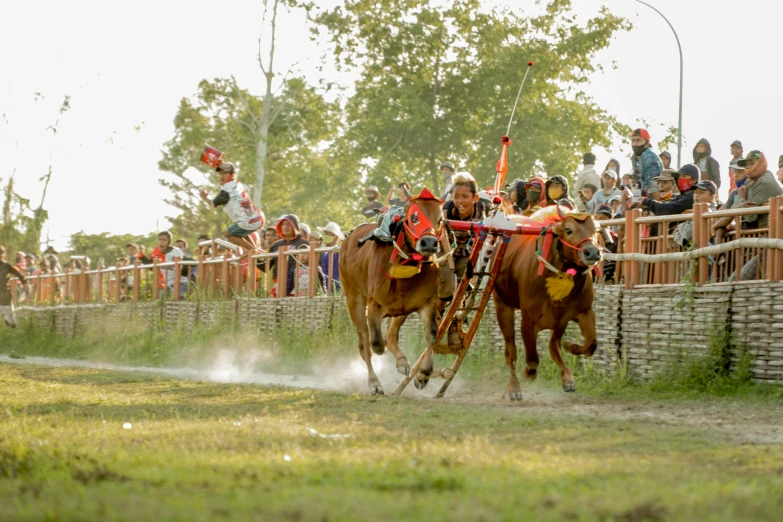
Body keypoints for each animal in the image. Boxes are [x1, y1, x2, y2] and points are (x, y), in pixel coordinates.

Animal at [340, 190, 444, 394]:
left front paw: (423, 374)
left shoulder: (427, 304)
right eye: (413, 218)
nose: (429, 243)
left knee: (390, 334)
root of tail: (348, 237)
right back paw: (374, 383)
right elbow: (376, 342)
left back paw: (402, 363)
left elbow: (432, 335)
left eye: (440, 218)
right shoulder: (374, 304)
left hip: (401, 309)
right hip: (354, 297)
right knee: (365, 344)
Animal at [494, 207, 604, 398]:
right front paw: (528, 373)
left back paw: (567, 377)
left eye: (596, 229)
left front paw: (570, 346)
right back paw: (514, 387)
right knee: (510, 350)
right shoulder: (528, 319)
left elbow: (591, 344)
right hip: (502, 305)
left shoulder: (582, 312)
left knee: (553, 346)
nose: (592, 252)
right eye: (568, 230)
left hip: (559, 323)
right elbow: (532, 359)